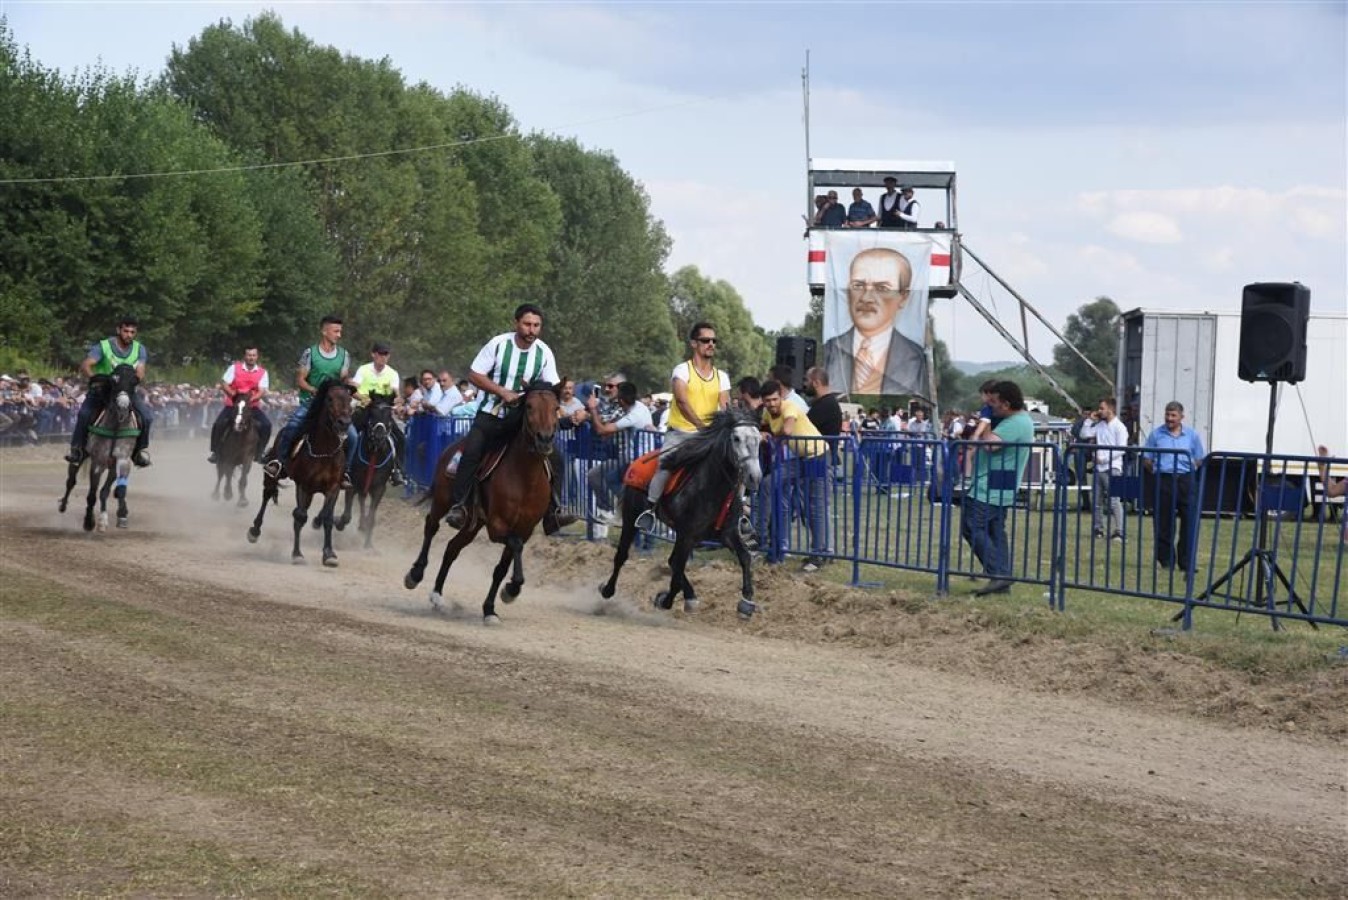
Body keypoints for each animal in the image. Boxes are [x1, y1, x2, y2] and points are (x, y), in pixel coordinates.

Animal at [58, 366, 140, 533]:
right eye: (113, 381)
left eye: (134, 381)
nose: (123, 406)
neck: (116, 427)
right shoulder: (98, 462)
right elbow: (91, 494)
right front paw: (89, 521)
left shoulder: (123, 460)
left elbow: (118, 490)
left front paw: (121, 516)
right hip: (79, 457)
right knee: (71, 481)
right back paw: (63, 505)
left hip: (112, 467)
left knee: (104, 491)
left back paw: (103, 519)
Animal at [246, 382, 353, 565]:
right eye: (329, 399)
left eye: (349, 399)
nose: (344, 423)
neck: (324, 452)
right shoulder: (303, 486)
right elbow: (300, 516)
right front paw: (297, 554)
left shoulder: (333, 488)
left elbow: (328, 518)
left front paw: (329, 554)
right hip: (275, 474)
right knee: (267, 495)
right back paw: (254, 531)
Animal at [330, 390, 393, 549]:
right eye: (372, 413)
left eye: (389, 414)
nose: (379, 437)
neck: (373, 455)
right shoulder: (352, 483)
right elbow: (346, 516)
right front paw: (338, 522)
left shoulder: (379, 488)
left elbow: (371, 517)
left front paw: (368, 545)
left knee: (362, 500)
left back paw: (362, 525)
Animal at [404, 382, 563, 625]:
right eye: (529, 406)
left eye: (556, 408)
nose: (544, 440)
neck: (525, 478)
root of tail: (453, 446)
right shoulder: (497, 526)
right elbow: (515, 545)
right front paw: (511, 589)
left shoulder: (525, 529)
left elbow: (502, 566)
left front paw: (492, 607)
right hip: (443, 499)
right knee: (431, 526)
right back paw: (415, 574)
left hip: (473, 522)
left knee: (452, 548)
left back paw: (437, 596)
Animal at [598, 409, 760, 614]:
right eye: (737, 438)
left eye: (759, 439)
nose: (755, 477)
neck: (711, 487)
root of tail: (636, 463)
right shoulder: (688, 534)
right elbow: (675, 576)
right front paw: (664, 600)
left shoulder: (726, 533)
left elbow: (745, 558)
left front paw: (747, 602)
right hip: (631, 518)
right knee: (622, 556)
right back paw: (607, 589)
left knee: (673, 561)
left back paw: (690, 596)